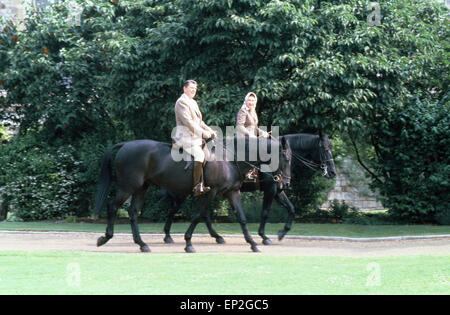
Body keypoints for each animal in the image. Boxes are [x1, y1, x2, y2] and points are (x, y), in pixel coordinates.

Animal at [94, 136, 292, 254]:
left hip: (141, 188)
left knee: (134, 212)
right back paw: (105, 238)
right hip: (129, 187)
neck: (230, 159)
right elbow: (198, 216)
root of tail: (126, 145)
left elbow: (242, 218)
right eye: (286, 158)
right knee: (113, 206)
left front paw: (253, 243)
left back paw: (142, 244)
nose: (284, 183)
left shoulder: (232, 192)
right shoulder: (211, 192)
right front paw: (188, 243)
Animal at [163, 132, 338, 246]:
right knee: (174, 210)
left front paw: (282, 233)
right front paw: (264, 236)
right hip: (188, 193)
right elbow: (265, 213)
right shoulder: (271, 190)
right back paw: (168, 236)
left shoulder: (278, 191)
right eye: (325, 149)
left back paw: (217, 237)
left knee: (203, 214)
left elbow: (292, 209)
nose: (333, 172)